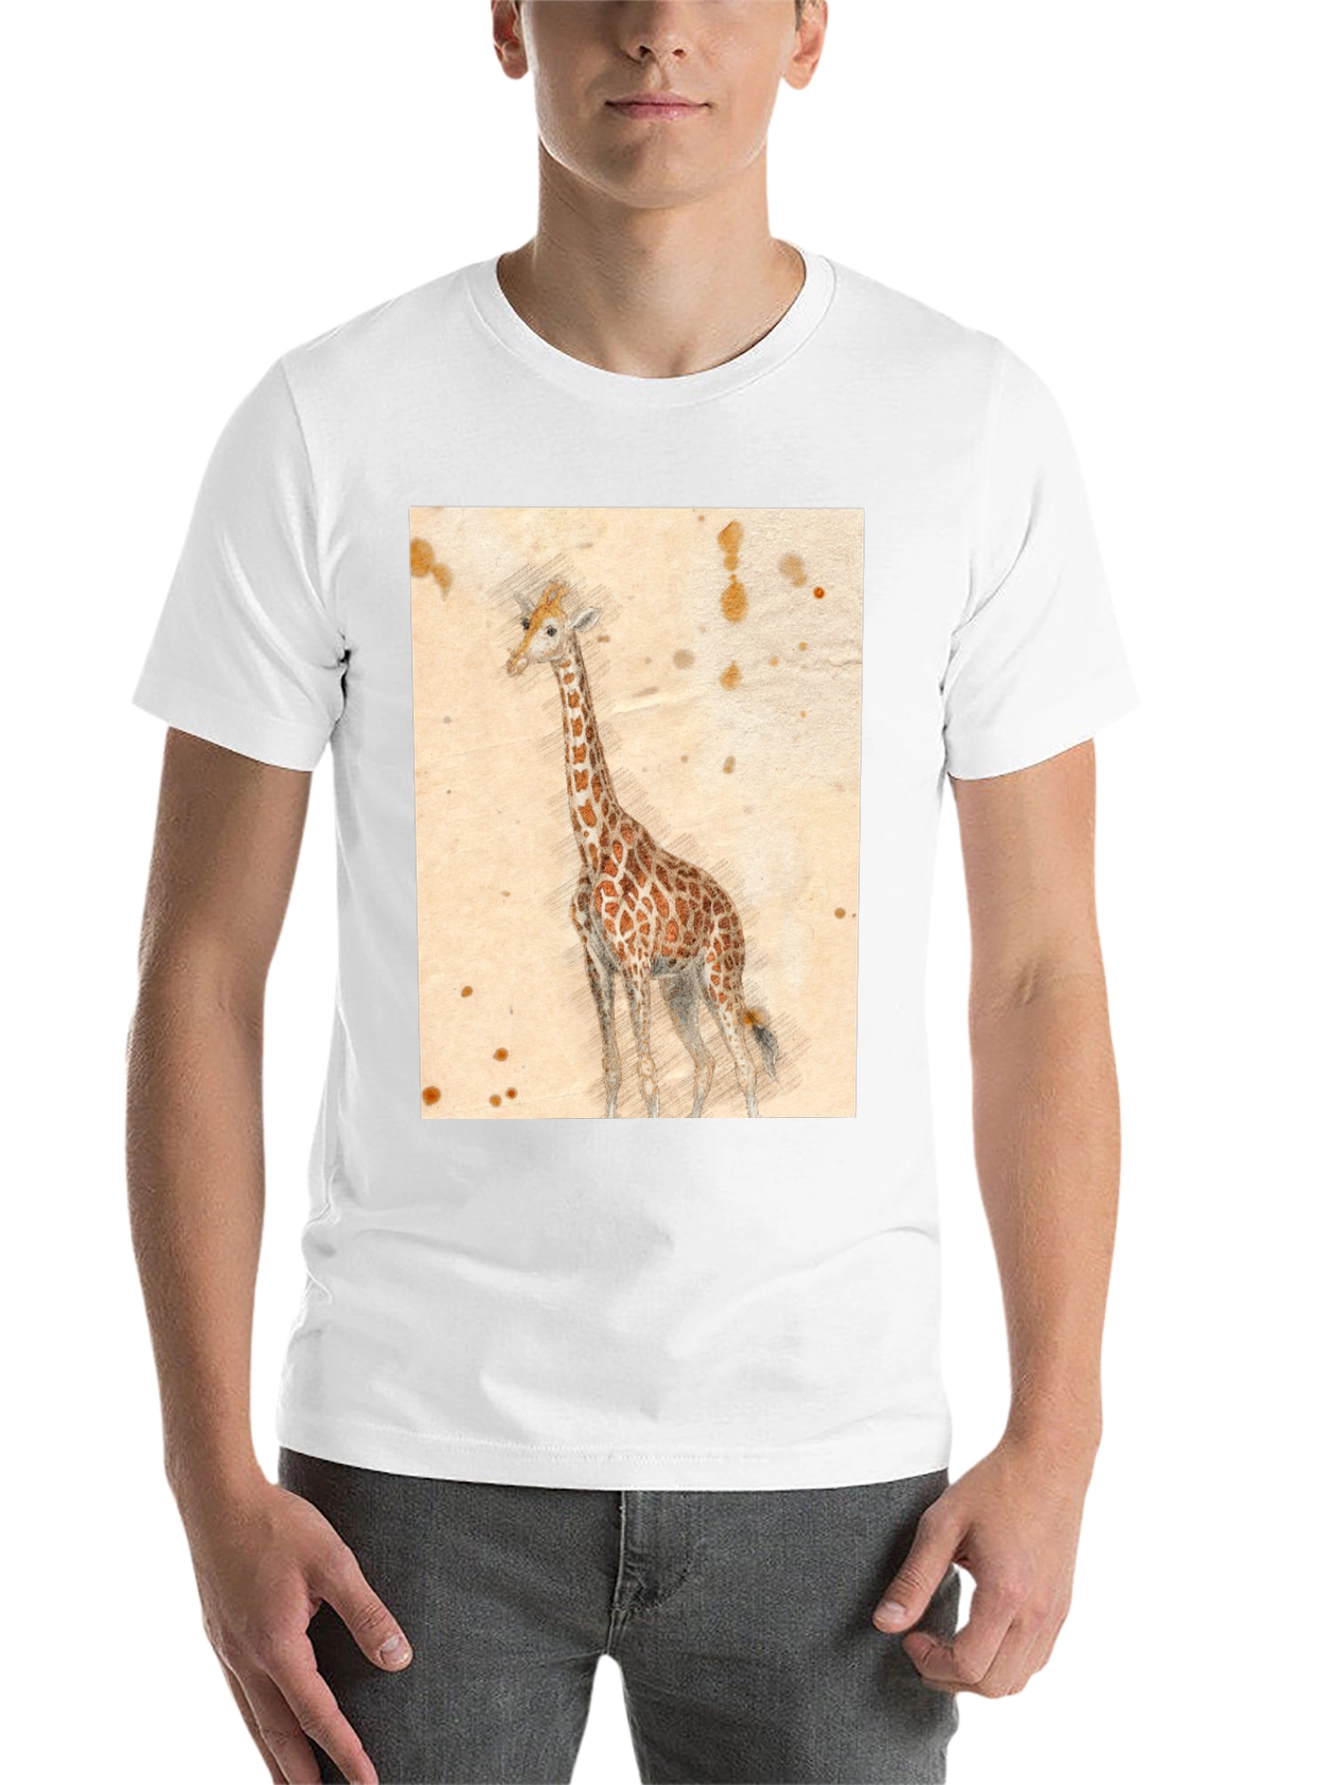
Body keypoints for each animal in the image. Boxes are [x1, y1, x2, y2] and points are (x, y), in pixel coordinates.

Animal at [506, 580, 779, 1118]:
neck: (592, 846)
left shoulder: (632, 961)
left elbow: (648, 1075)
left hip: (720, 976)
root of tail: (733, 912)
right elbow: (613, 1069)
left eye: (553, 629)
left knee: (744, 1065)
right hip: (681, 986)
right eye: (526, 624)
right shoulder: (597, 964)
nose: (514, 662)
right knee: (706, 1061)